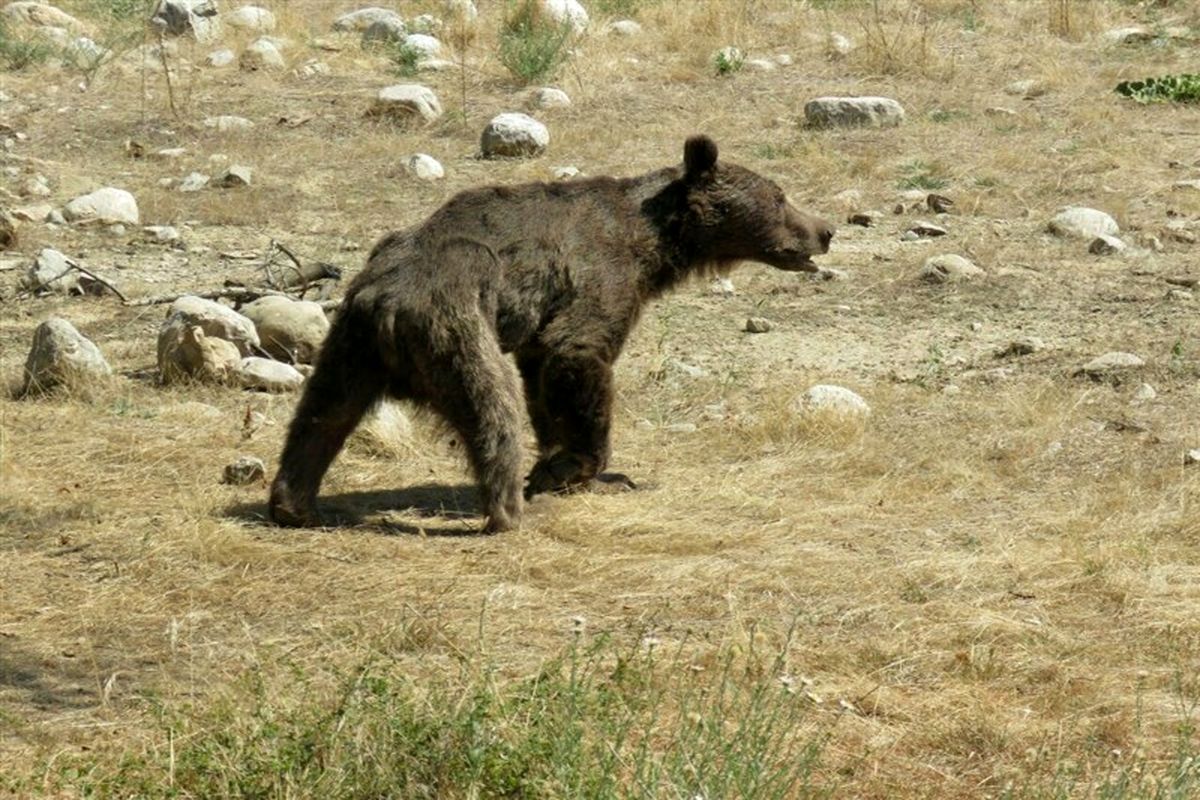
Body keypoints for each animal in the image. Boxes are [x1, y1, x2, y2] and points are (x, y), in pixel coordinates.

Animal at [270, 135, 835, 534]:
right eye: (780, 197)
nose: (826, 230)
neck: (654, 243)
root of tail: (383, 302)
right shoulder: (600, 275)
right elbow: (576, 353)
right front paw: (581, 469)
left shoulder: (541, 323)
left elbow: (544, 378)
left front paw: (564, 467)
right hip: (455, 323)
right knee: (491, 406)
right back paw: (508, 511)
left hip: (350, 344)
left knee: (321, 415)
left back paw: (293, 504)